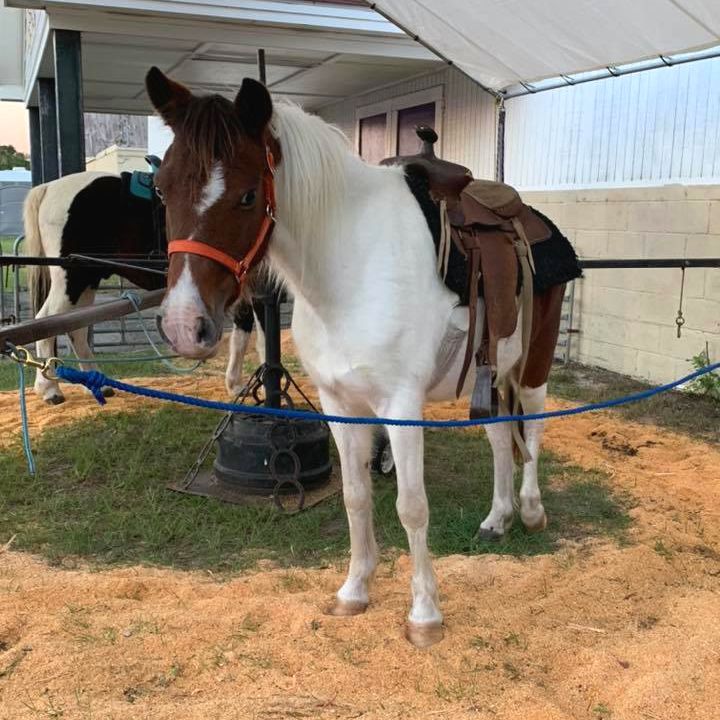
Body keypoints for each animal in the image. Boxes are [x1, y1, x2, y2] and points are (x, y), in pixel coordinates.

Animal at [22, 170, 265, 404]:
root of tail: (49, 187)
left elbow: (242, 335)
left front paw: (237, 386)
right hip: (71, 278)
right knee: (46, 321)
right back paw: (49, 389)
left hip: (86, 280)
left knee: (76, 328)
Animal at [145, 67, 565, 647]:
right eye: (161, 189)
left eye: (249, 195)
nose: (185, 327)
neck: (351, 268)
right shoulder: (338, 403)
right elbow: (355, 496)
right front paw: (354, 591)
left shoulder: (401, 406)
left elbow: (411, 507)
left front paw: (424, 615)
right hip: (492, 372)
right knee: (501, 436)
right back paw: (497, 518)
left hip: (534, 362)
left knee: (535, 428)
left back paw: (529, 510)